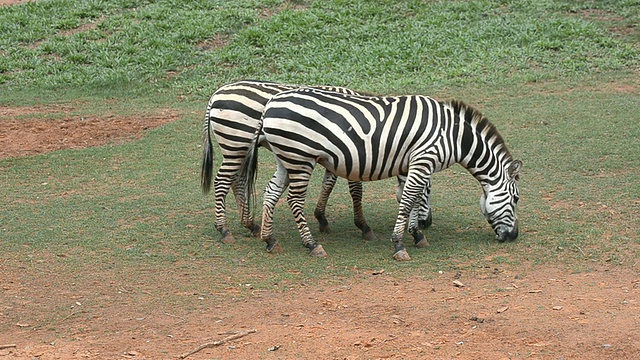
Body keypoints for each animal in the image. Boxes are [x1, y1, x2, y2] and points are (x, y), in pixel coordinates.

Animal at [199, 80, 430, 245]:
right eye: (427, 190)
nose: (426, 224)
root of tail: (216, 94)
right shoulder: (353, 153)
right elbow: (355, 190)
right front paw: (363, 226)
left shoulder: (337, 154)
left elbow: (328, 184)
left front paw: (321, 218)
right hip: (236, 144)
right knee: (222, 181)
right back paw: (224, 229)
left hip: (239, 149)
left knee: (236, 181)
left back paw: (251, 224)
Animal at [239, 87, 520, 262]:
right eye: (516, 199)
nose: (513, 237)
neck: (453, 135)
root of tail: (271, 103)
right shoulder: (423, 160)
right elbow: (408, 200)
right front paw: (399, 244)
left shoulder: (411, 165)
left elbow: (412, 200)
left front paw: (416, 234)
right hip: (300, 158)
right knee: (294, 200)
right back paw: (311, 245)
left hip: (285, 157)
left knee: (271, 192)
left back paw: (269, 239)